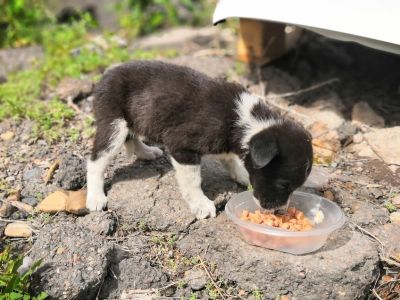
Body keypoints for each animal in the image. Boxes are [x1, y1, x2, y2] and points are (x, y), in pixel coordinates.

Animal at [86, 61, 312, 219]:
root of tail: (105, 75)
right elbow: (193, 181)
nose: (280, 212)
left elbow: (231, 161)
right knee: (96, 161)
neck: (245, 120)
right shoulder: (182, 148)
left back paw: (147, 152)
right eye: (283, 185)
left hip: (134, 119)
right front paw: (202, 205)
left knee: (132, 136)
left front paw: (242, 176)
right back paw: (95, 197)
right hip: (114, 124)